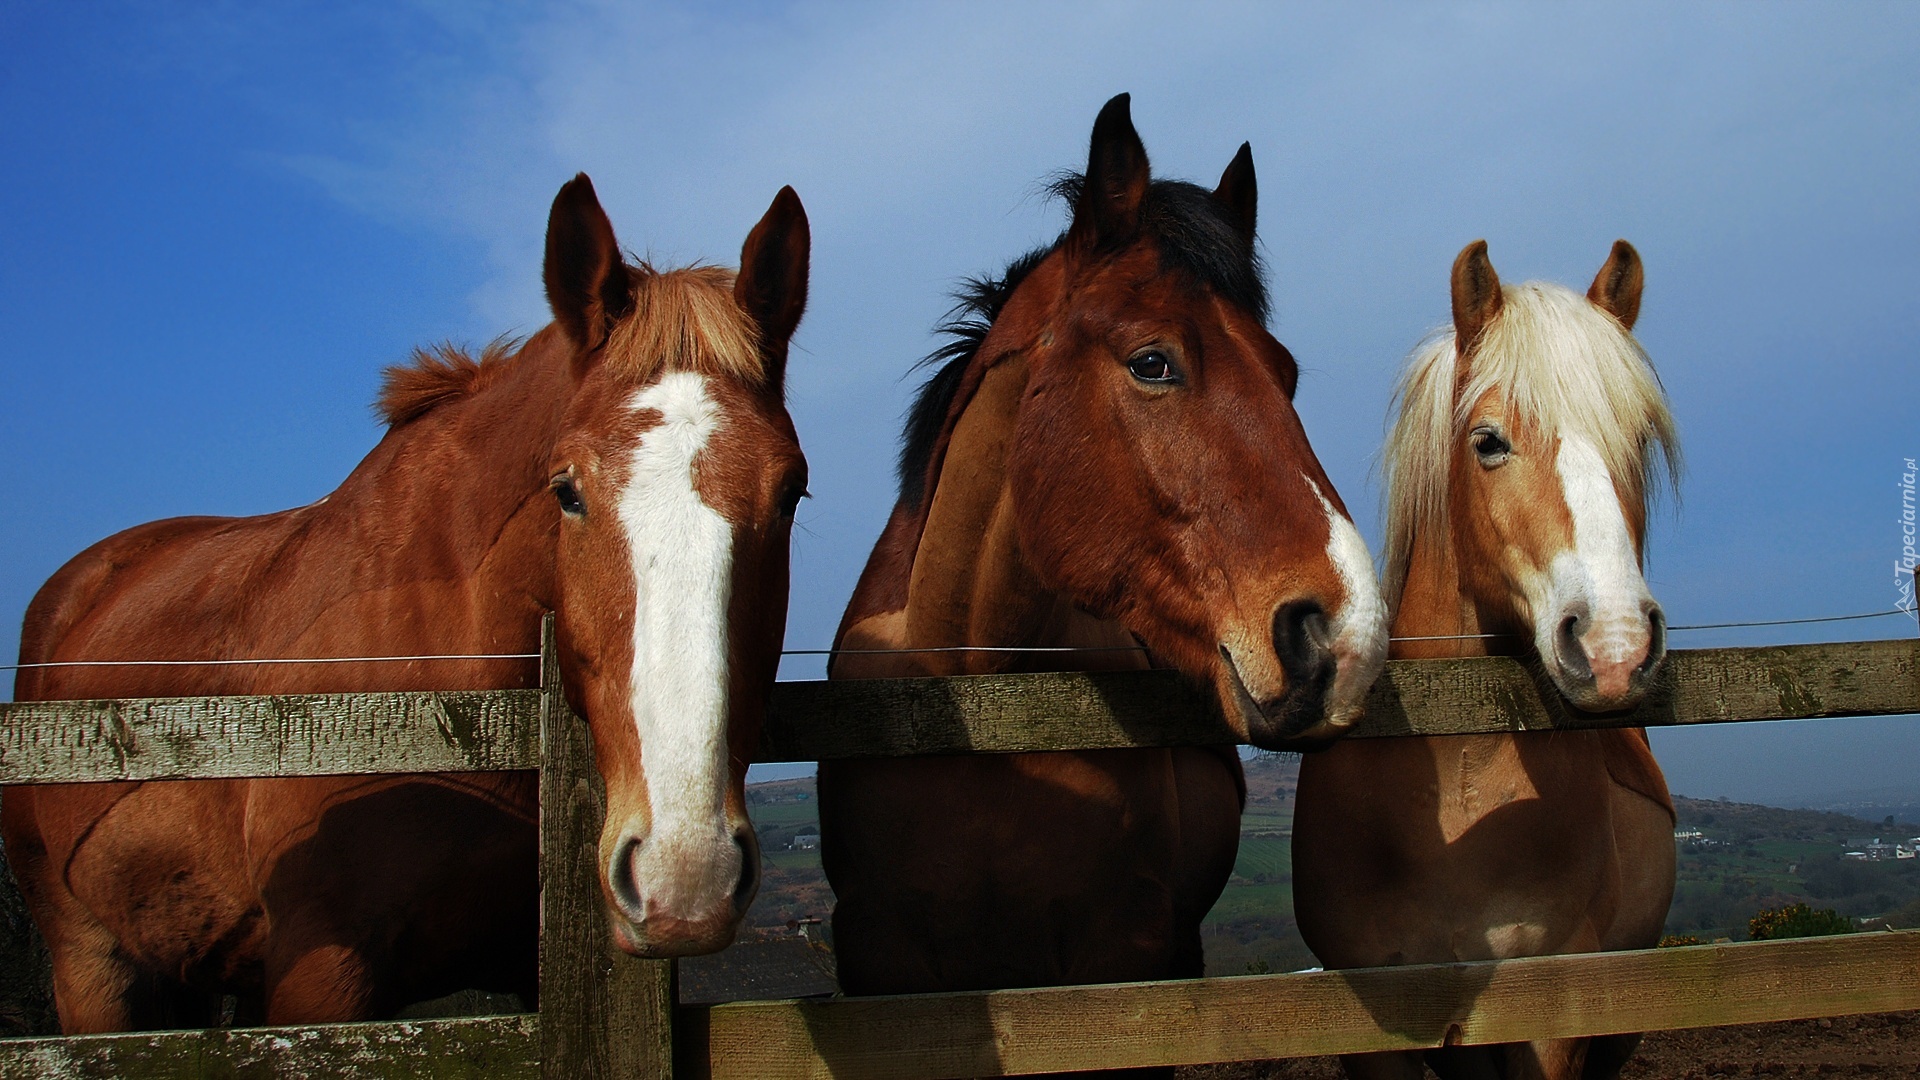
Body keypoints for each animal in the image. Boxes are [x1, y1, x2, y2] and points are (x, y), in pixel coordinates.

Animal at [817, 94, 1390, 1060]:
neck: (972, 701)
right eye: (1152, 362)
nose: (1343, 638)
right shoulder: (881, 966)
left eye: (1286, 374)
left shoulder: (1125, 962)